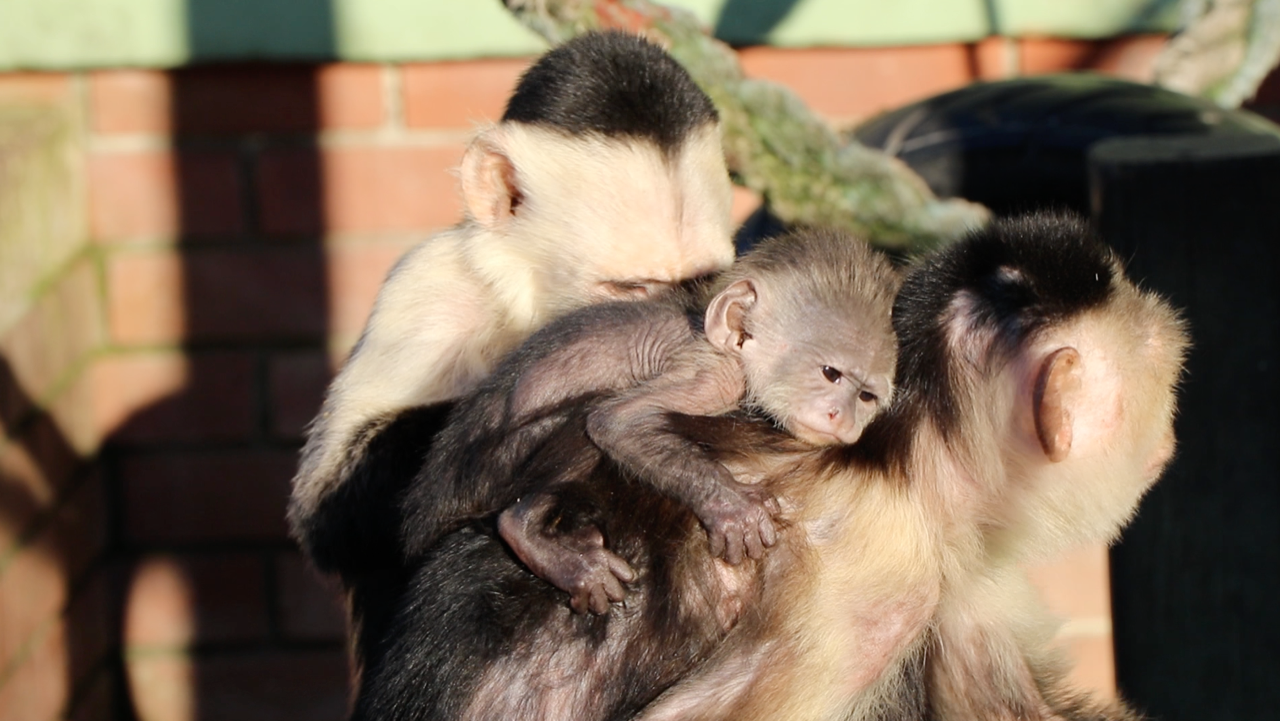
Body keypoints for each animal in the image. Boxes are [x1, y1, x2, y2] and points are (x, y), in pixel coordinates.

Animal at [397, 229, 899, 615]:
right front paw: (731, 507)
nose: (842, 416)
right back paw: (528, 532)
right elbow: (617, 421)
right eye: (830, 373)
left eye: (867, 396)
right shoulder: (716, 378)